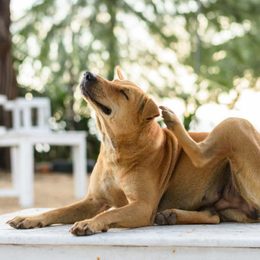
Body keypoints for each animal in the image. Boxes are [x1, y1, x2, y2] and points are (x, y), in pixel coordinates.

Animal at [7, 67, 260, 236]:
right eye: (112, 81)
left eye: (123, 93)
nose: (88, 74)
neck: (115, 148)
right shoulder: (93, 200)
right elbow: (57, 211)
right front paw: (30, 218)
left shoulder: (141, 206)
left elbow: (108, 214)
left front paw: (91, 223)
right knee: (214, 216)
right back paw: (172, 215)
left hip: (236, 125)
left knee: (203, 154)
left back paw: (173, 120)